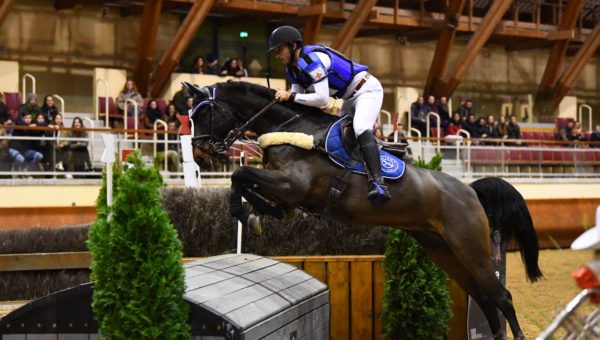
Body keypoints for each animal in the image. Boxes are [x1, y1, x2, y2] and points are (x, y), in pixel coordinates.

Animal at [188, 80, 544, 340]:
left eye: (203, 114)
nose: (201, 156)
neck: (292, 127)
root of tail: (470, 190)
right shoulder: (285, 188)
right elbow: (246, 182)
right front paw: (258, 215)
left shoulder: (294, 184)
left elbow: (240, 174)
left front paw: (245, 213)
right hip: (443, 250)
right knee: (484, 298)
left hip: (472, 250)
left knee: (502, 297)